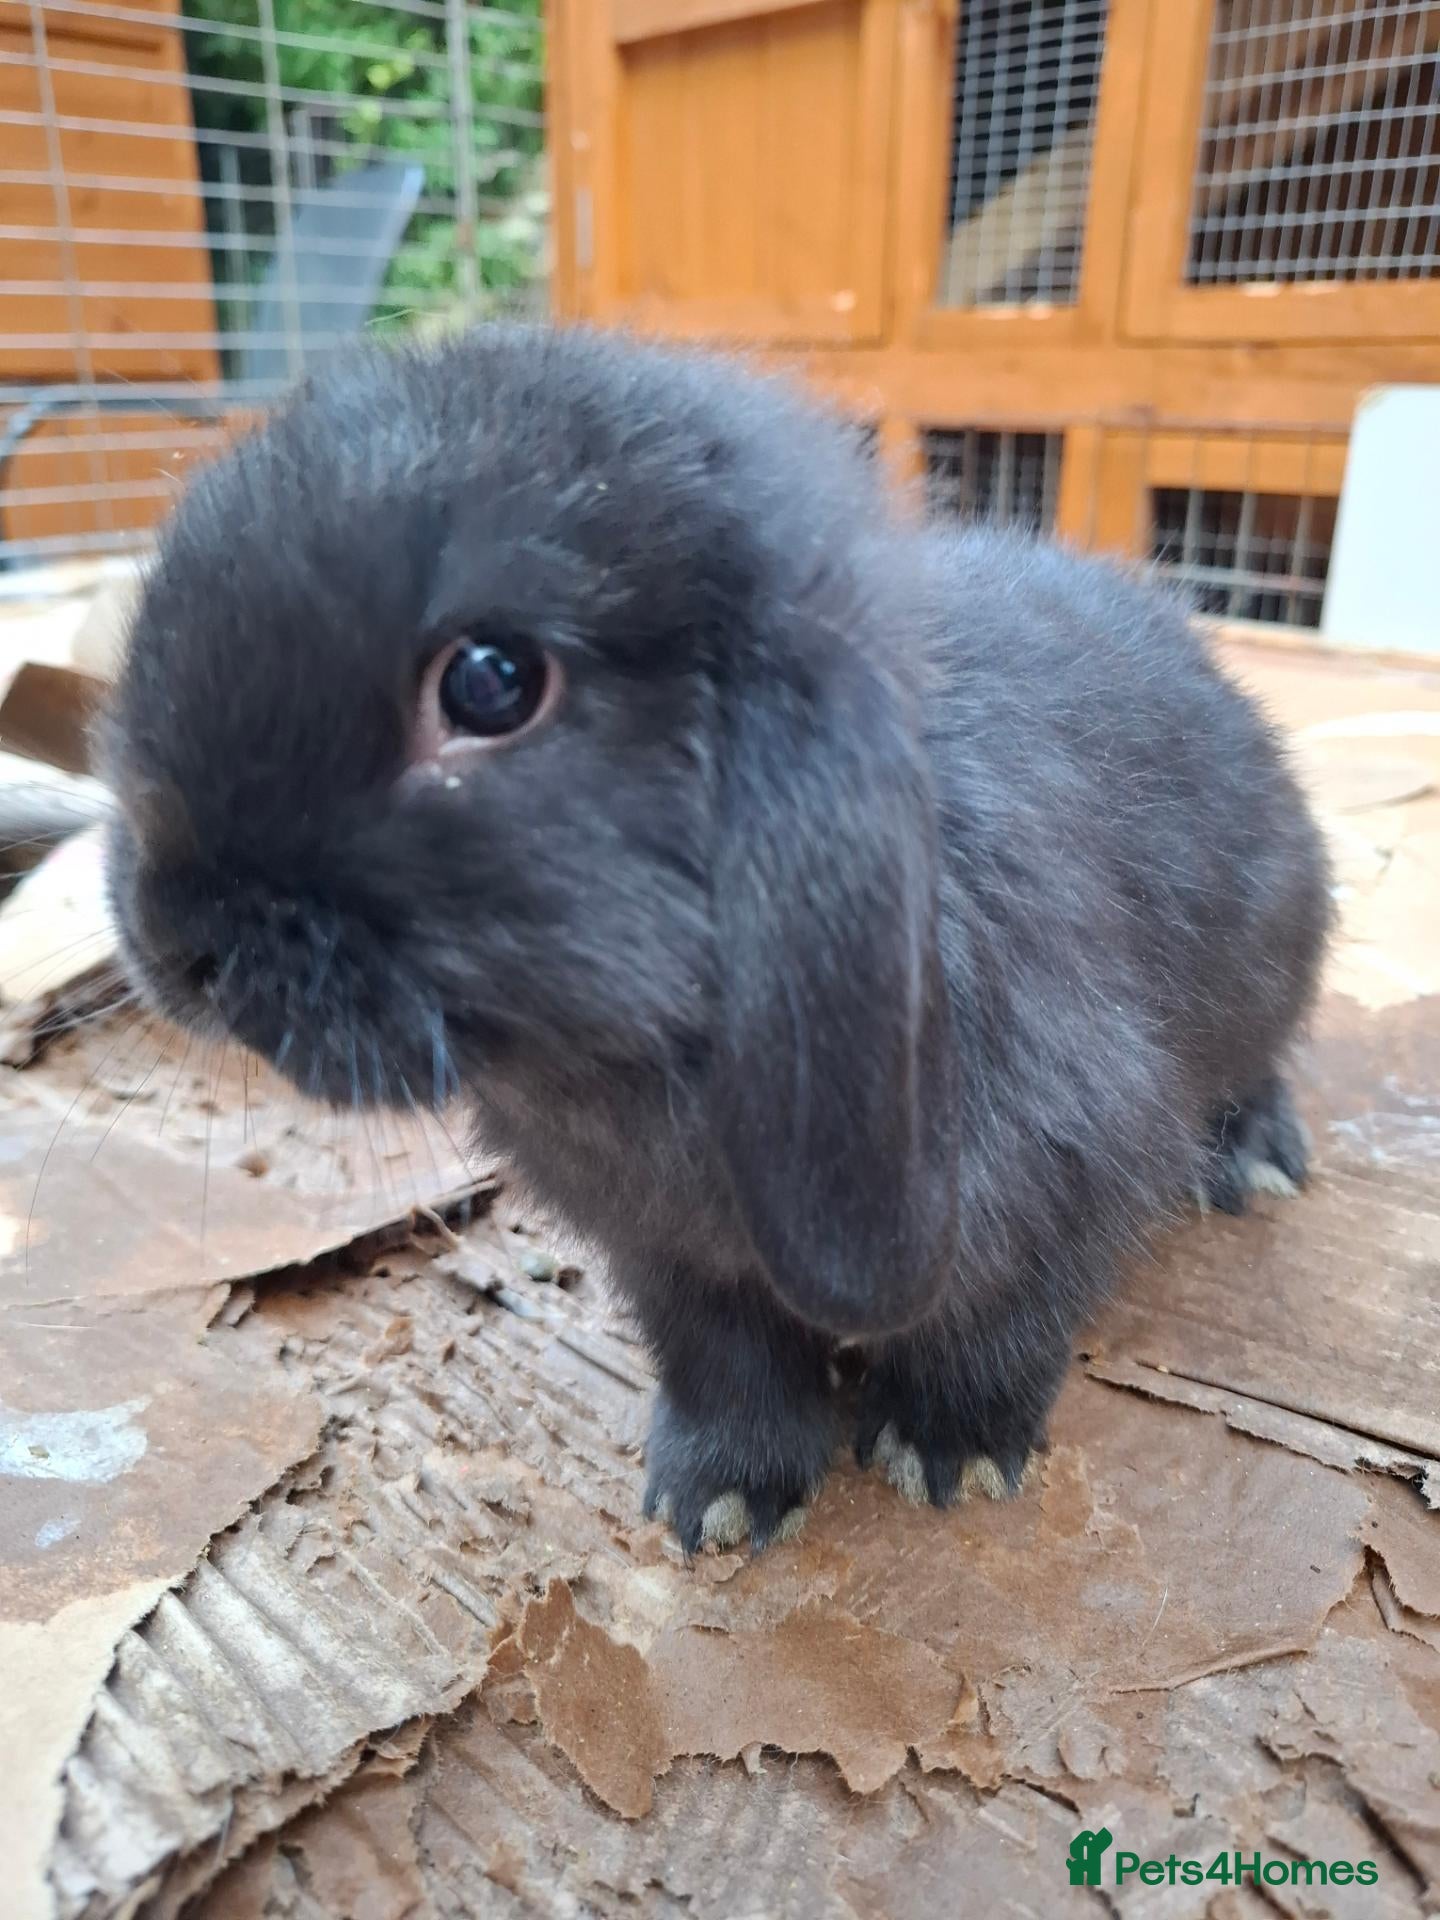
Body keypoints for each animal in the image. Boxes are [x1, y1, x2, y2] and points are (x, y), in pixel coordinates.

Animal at [102, 326, 1331, 1553]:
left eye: (491, 683)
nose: (174, 938)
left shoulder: (1061, 1166)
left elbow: (996, 1326)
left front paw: (948, 1453)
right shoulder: (672, 1257)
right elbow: (725, 1365)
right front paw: (717, 1501)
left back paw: (1253, 1162)